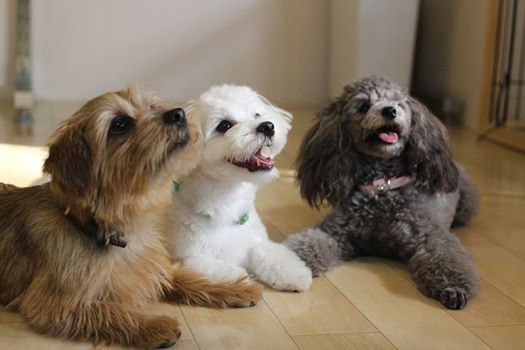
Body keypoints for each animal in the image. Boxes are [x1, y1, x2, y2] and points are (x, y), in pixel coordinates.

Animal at [0, 86, 260, 348]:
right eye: (119, 124)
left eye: (153, 106)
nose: (178, 113)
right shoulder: (52, 305)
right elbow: (107, 311)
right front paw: (154, 326)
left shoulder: (155, 269)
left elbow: (186, 278)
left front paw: (232, 289)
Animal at [168, 85, 312, 292]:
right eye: (224, 125)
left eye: (257, 115)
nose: (267, 126)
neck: (226, 198)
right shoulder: (182, 257)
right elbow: (204, 267)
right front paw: (238, 279)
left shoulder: (252, 239)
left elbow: (266, 251)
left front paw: (293, 272)